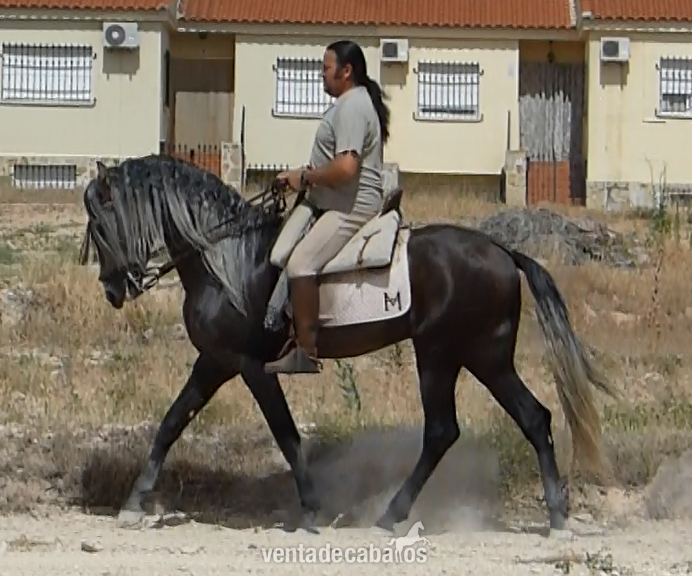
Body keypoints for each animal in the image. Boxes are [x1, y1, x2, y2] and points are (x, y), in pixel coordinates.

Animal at [78, 153, 617, 534]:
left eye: (100, 226)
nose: (112, 290)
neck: (225, 258)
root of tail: (504, 253)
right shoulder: (215, 361)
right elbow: (171, 423)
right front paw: (133, 502)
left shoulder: (247, 365)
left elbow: (286, 436)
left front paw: (311, 510)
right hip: (464, 357)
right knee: (505, 422)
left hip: (458, 355)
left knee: (470, 426)